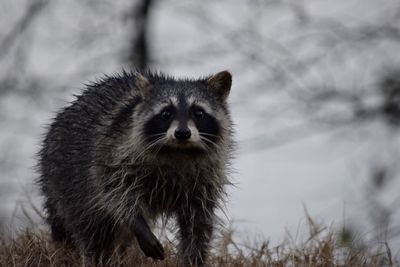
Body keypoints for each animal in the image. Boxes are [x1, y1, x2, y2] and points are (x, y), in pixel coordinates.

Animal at [38, 70, 234, 266]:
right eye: (166, 113)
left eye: (199, 113)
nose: (182, 133)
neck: (178, 152)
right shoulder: (114, 153)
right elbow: (116, 193)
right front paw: (137, 223)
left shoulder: (205, 179)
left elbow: (198, 226)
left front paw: (193, 259)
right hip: (69, 183)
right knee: (93, 234)